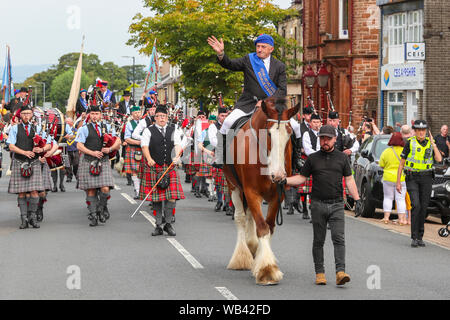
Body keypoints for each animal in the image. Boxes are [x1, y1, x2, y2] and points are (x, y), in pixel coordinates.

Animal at [222, 97, 298, 284]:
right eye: (268, 134)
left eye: (289, 134)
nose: (278, 175)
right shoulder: (251, 192)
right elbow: (262, 228)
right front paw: (267, 269)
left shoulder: (277, 195)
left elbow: (269, 226)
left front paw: (263, 261)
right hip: (233, 186)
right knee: (241, 218)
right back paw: (241, 257)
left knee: (250, 217)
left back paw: (252, 248)